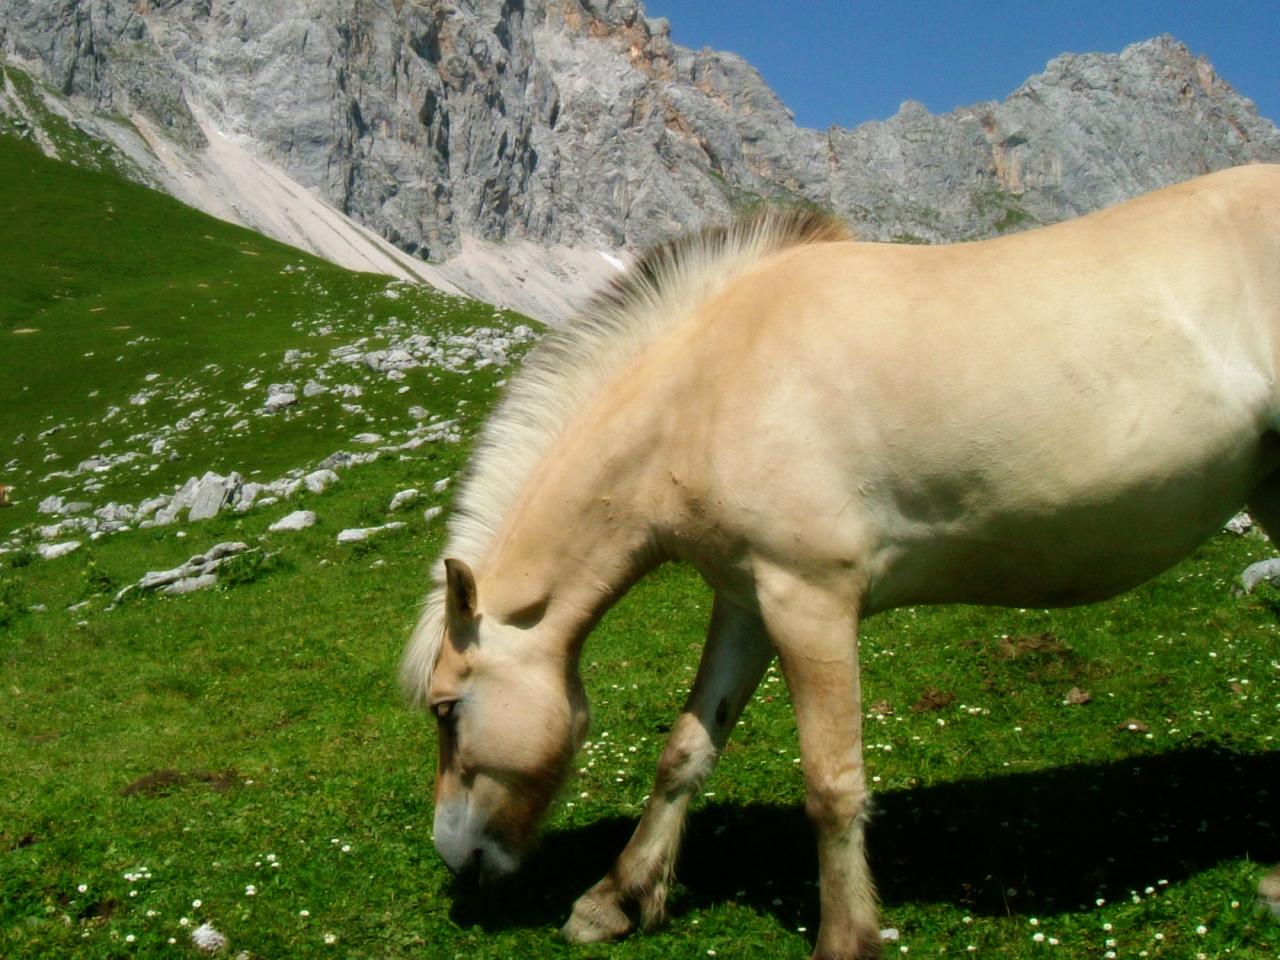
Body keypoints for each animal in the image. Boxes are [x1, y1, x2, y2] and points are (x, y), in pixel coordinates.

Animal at [404, 167, 1280, 960]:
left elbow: (831, 785)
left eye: (447, 710)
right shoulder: (747, 603)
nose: (454, 859)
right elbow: (686, 750)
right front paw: (616, 899)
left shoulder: (811, 602)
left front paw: (845, 936)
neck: (710, 387)